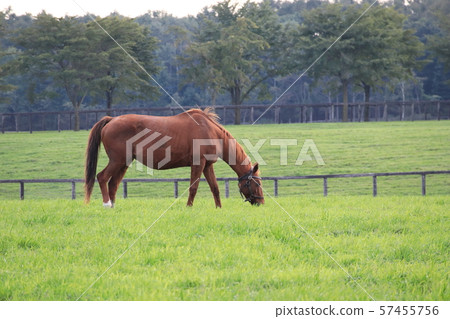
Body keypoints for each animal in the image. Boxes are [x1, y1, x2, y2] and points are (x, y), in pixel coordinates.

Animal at [84, 108, 264, 208]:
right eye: (256, 183)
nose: (261, 202)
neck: (210, 130)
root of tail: (111, 119)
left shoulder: (207, 166)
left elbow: (215, 188)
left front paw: (219, 208)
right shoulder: (198, 164)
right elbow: (193, 188)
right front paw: (189, 207)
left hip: (124, 163)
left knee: (113, 184)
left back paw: (113, 206)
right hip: (117, 161)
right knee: (102, 177)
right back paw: (107, 204)